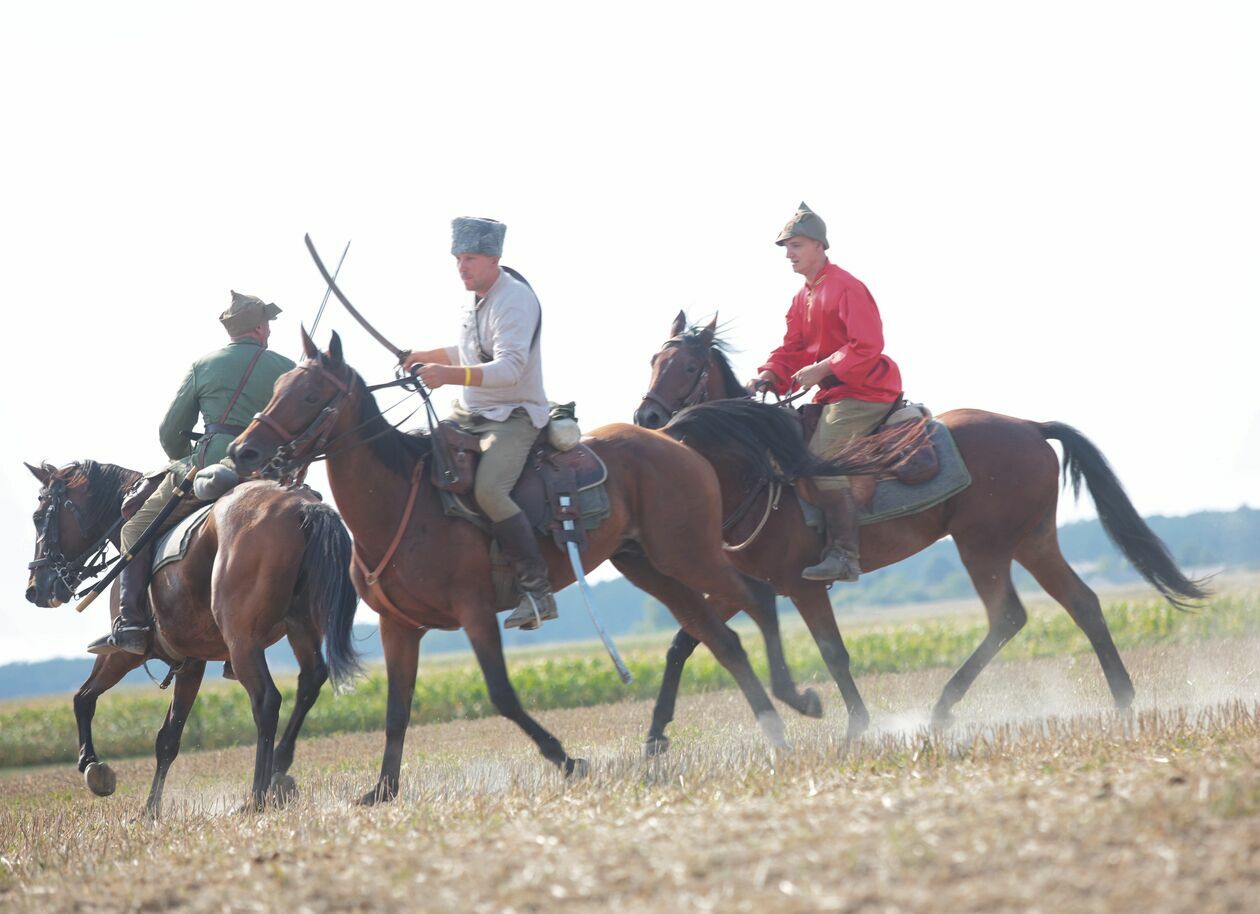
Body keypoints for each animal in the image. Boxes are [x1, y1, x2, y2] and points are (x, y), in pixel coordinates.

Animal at [25, 458, 360, 816]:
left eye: (38, 517)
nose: (34, 589)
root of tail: (301, 507)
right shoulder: (191, 663)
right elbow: (168, 738)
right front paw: (150, 810)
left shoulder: (123, 654)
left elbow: (83, 698)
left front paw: (92, 766)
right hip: (300, 627)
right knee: (310, 682)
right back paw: (279, 772)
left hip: (243, 644)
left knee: (267, 701)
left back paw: (257, 795)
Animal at [221, 332, 902, 801]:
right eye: (277, 391)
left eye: (309, 393)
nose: (245, 451)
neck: (400, 505)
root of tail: (672, 438)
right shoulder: (400, 627)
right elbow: (396, 708)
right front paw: (382, 791)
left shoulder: (475, 613)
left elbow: (500, 693)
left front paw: (566, 758)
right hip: (651, 567)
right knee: (718, 637)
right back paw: (772, 731)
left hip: (689, 552)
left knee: (755, 600)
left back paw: (797, 701)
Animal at [635, 313, 1204, 746]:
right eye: (653, 362)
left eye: (688, 365)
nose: (646, 417)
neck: (756, 461)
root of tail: (1029, 426)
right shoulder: (750, 584)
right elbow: (684, 643)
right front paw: (656, 734)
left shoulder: (802, 584)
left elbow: (834, 653)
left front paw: (856, 727)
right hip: (1032, 541)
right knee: (1082, 603)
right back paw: (1123, 701)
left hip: (983, 546)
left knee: (1008, 617)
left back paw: (942, 709)